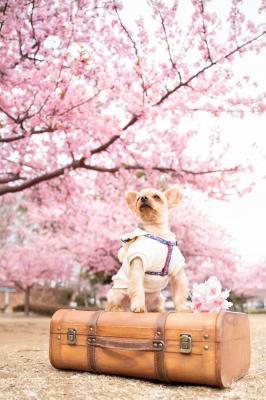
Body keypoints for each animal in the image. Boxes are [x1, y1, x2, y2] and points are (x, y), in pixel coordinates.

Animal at [105, 184, 188, 312]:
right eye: (138, 198)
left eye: (156, 197)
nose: (143, 198)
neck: (157, 233)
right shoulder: (138, 264)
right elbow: (137, 289)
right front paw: (139, 306)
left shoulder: (177, 271)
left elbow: (180, 292)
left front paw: (182, 308)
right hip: (116, 294)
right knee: (110, 305)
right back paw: (119, 309)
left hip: (159, 298)